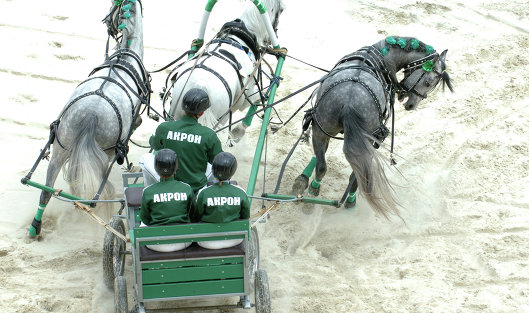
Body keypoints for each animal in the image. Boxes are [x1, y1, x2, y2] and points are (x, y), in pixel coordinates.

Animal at [28, 0, 150, 235]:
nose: (108, 26)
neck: (126, 56)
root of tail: (90, 117)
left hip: (60, 149)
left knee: (47, 190)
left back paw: (35, 226)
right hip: (106, 155)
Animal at [169, 0, 284, 145]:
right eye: (282, 10)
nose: (275, 35)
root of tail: (200, 85)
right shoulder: (248, 96)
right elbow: (260, 99)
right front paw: (239, 131)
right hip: (220, 120)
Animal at [290, 36, 452, 217]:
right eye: (428, 82)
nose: (411, 105)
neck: (383, 56)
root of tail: (349, 100)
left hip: (321, 130)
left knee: (322, 166)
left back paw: (312, 192)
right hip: (367, 140)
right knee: (357, 174)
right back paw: (350, 200)